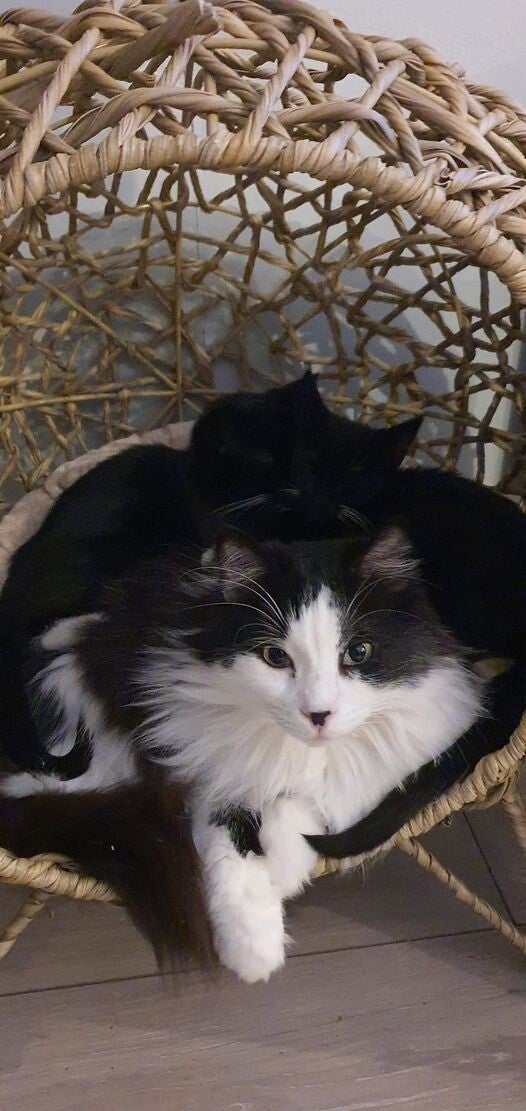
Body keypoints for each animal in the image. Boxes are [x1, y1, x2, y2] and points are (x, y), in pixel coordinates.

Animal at [0, 526, 484, 981]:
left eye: (358, 652)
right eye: (275, 657)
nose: (318, 714)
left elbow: (301, 805)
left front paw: (283, 869)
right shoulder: (201, 773)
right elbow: (231, 853)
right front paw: (254, 951)